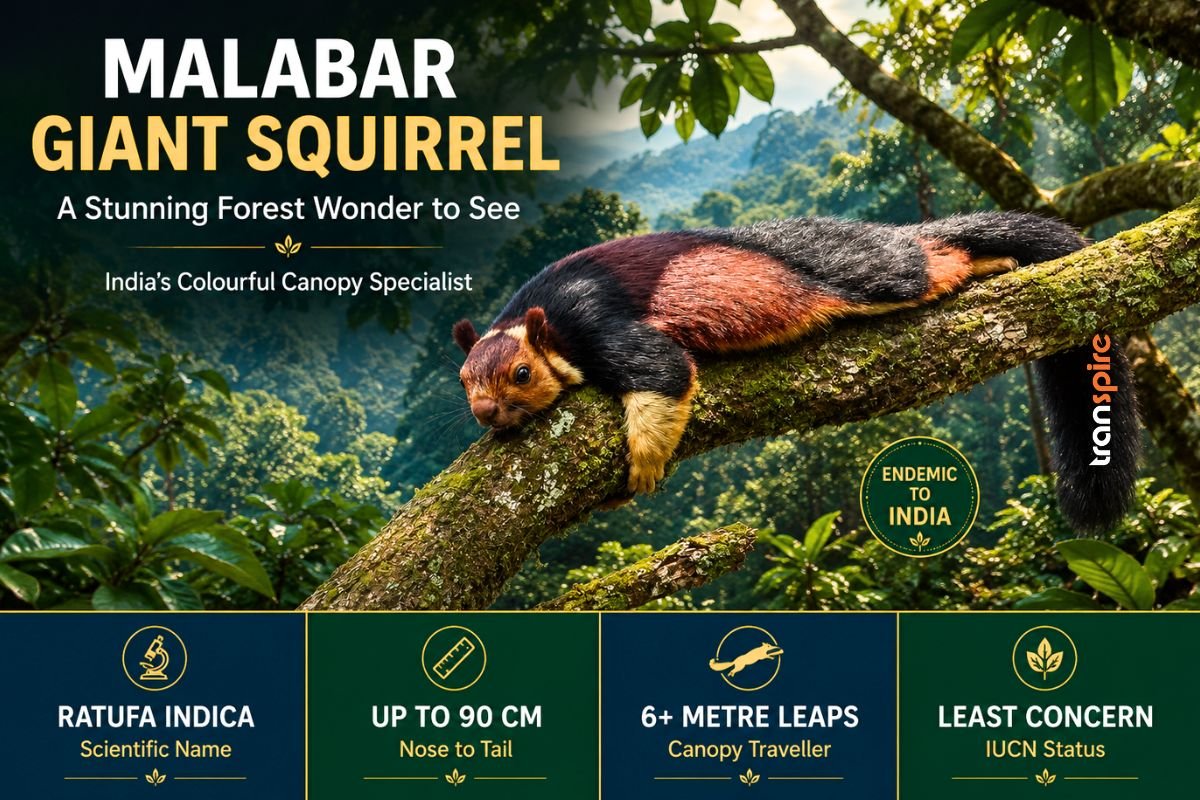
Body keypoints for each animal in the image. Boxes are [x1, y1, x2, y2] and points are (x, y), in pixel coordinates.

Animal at [453, 211, 1139, 533]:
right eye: (463, 379)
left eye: (521, 374)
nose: (484, 413)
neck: (542, 318)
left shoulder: (597, 321)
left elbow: (663, 372)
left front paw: (642, 467)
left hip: (876, 273)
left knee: (925, 264)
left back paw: (982, 261)